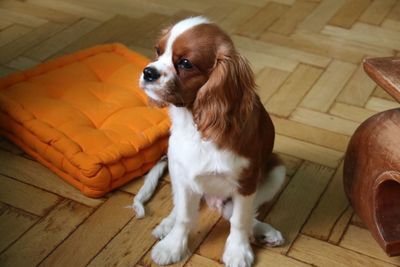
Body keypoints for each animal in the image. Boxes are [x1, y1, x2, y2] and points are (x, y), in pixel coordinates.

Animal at [136, 16, 286, 267]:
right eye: (158, 51)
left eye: (185, 63)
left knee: (238, 213)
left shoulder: (245, 182)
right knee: (180, 206)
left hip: (277, 169)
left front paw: (238, 251)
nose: (148, 71)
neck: (195, 125)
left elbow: (239, 220)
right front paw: (172, 246)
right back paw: (166, 225)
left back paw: (264, 232)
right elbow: (185, 216)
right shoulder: (182, 174)